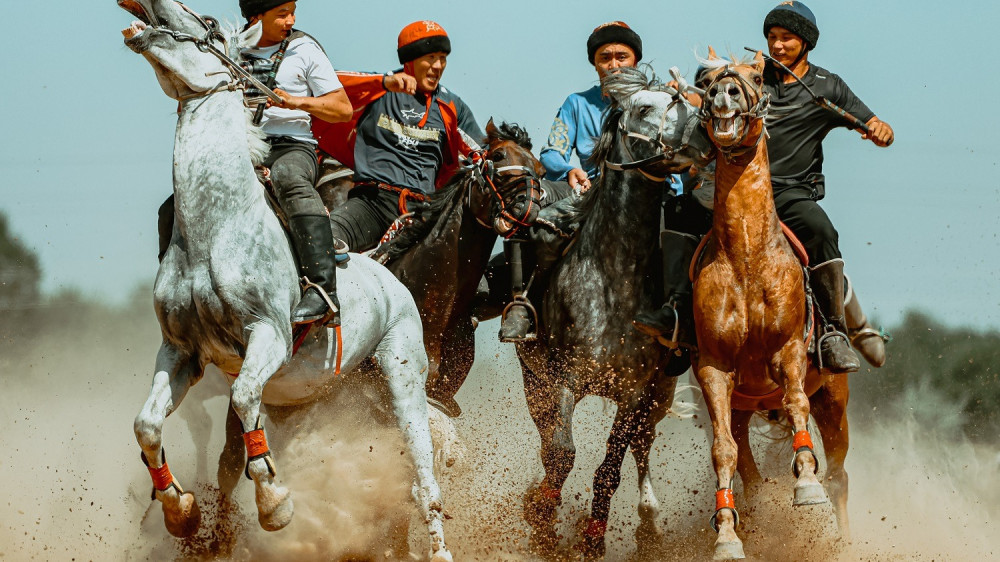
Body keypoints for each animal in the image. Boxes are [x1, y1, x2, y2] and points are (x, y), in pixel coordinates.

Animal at [118, 2, 458, 556]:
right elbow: (147, 424)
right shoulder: (181, 352)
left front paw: (275, 504)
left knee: (423, 466)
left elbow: (243, 399)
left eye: (209, 26)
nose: (148, 9)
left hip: (402, 372)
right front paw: (181, 512)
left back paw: (439, 548)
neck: (216, 229)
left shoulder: (269, 335)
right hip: (332, 395)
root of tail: (385, 273)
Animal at [512, 66, 716, 556]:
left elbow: (609, 467)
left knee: (643, 446)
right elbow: (561, 453)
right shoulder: (564, 379)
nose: (704, 136)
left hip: (660, 395)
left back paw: (649, 519)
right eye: (643, 108)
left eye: (688, 101)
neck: (613, 279)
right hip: (534, 381)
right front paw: (541, 517)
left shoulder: (634, 392)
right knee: (547, 441)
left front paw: (591, 539)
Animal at [696, 50, 852, 556]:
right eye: (705, 77)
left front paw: (805, 486)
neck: (747, 258)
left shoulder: (789, 353)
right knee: (749, 468)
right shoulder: (714, 370)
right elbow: (724, 451)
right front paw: (727, 536)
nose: (723, 92)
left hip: (834, 399)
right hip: (744, 406)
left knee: (840, 474)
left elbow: (797, 404)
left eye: (755, 76)